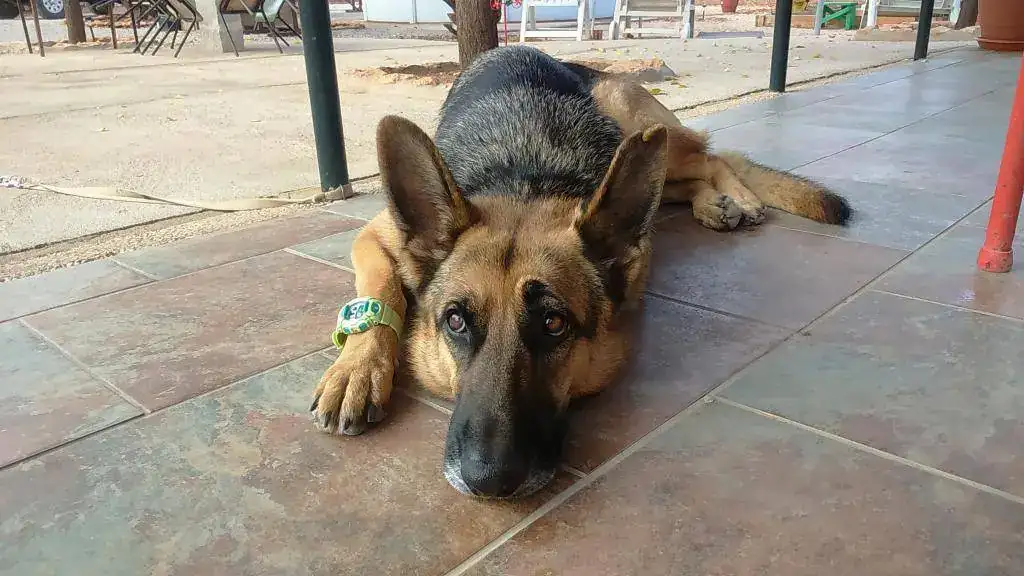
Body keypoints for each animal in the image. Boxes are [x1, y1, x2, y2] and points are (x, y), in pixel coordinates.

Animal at [310, 45, 851, 499]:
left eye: (554, 324)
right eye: (456, 322)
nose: (488, 481)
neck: (525, 180)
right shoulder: (372, 238)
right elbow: (382, 286)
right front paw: (356, 369)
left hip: (646, 130)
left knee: (714, 157)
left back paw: (737, 196)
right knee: (685, 181)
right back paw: (714, 204)